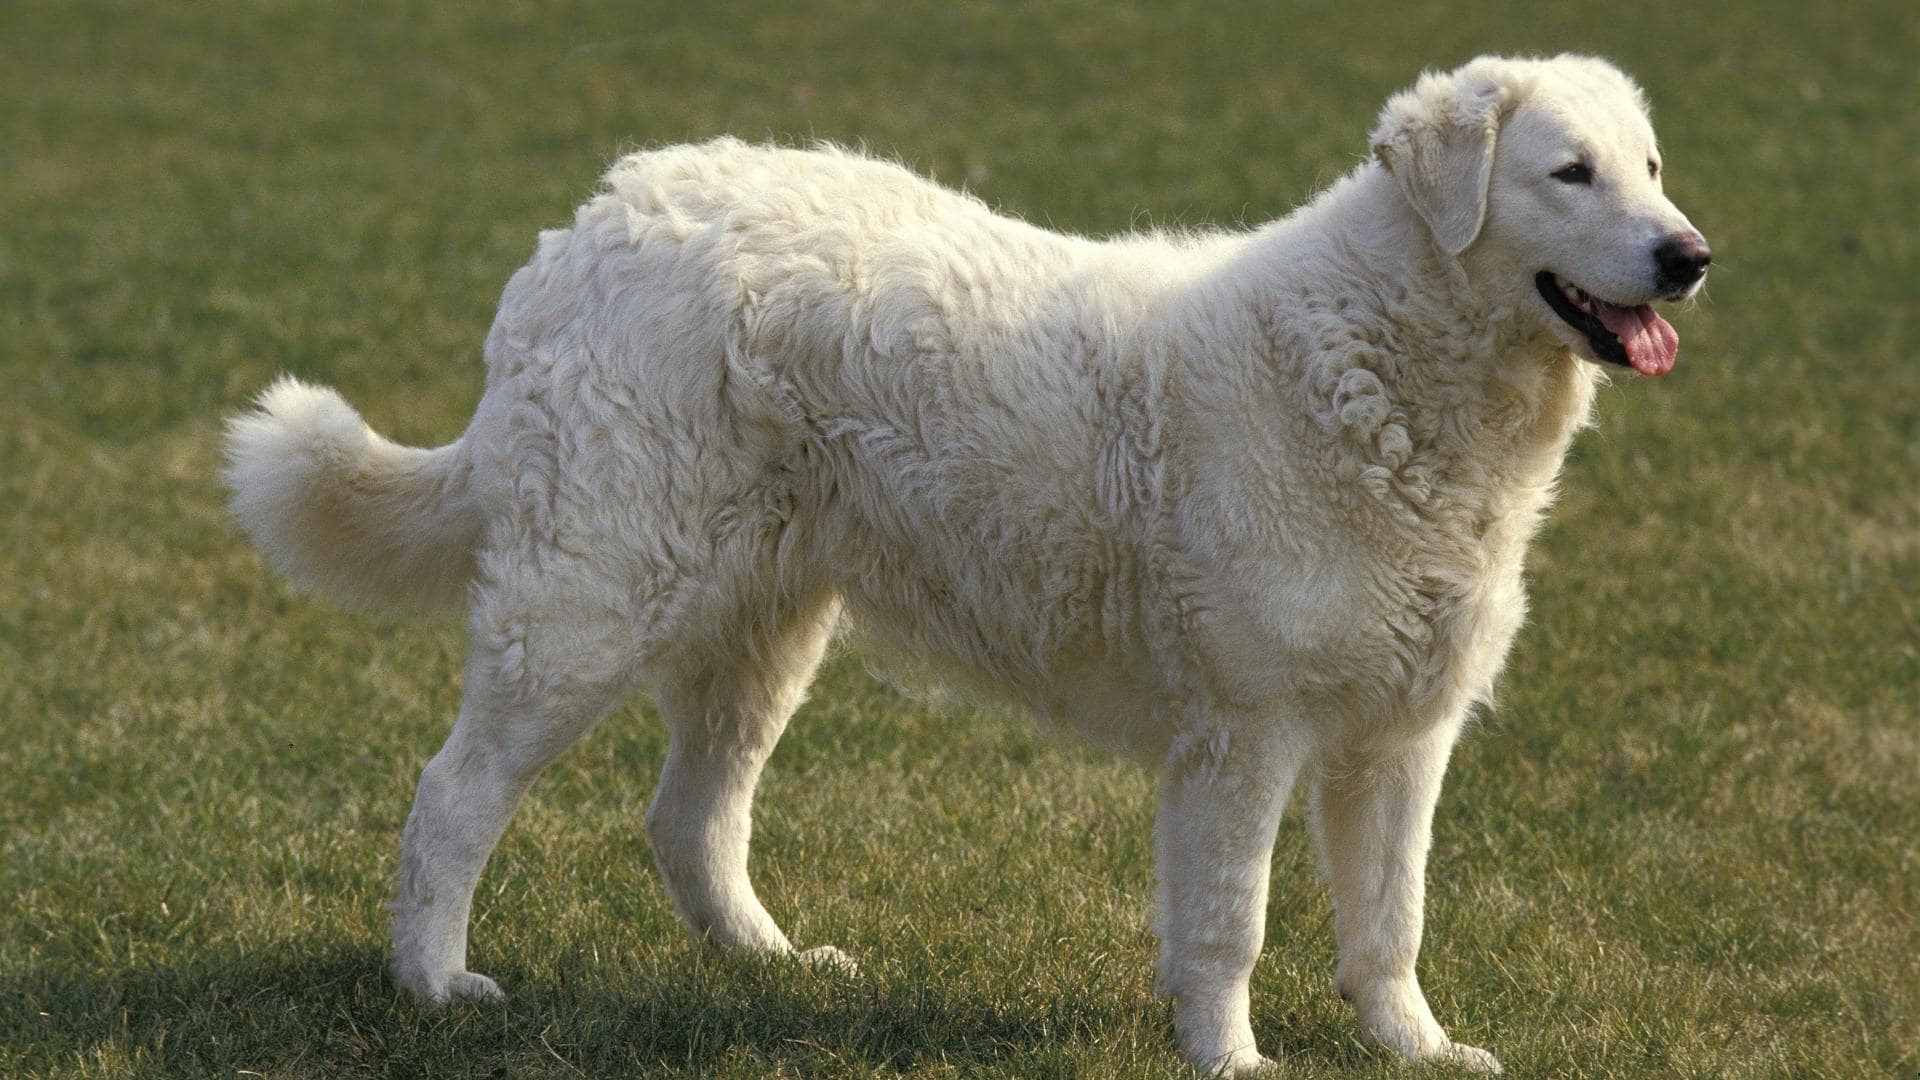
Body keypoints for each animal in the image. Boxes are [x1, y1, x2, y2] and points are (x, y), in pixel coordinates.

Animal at [224, 56, 1712, 1068]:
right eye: (1569, 173)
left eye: (1651, 166)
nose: (1690, 254)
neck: (1388, 363)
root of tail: (587, 226)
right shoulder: (1246, 730)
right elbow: (1226, 924)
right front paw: (1232, 1060)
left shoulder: (1402, 733)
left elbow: (1391, 923)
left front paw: (1418, 1051)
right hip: (588, 605)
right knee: (455, 795)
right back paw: (434, 985)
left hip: (764, 627)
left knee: (690, 816)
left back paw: (775, 967)